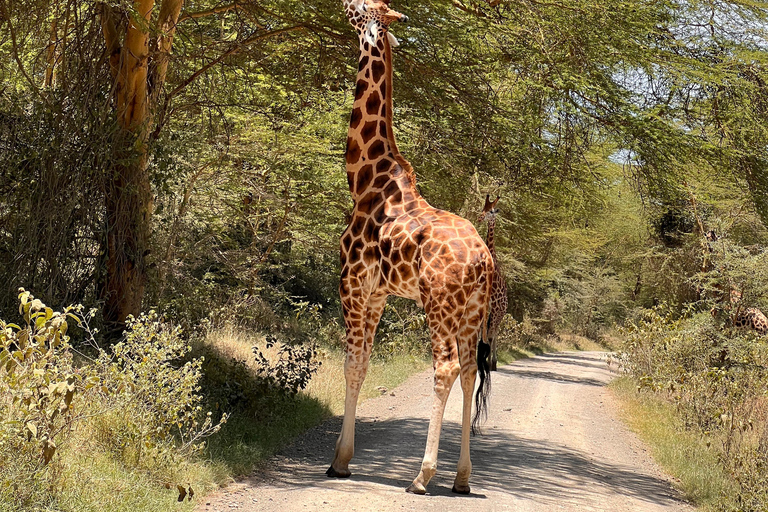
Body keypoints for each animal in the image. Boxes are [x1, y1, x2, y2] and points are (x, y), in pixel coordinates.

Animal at [328, 0, 496, 496]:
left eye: (362, 6)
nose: (342, 3)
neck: (364, 179)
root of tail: (485, 261)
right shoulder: (378, 293)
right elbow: (362, 363)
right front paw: (343, 456)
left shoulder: (352, 283)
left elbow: (352, 364)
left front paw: (340, 461)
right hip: (471, 312)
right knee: (469, 371)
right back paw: (461, 478)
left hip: (439, 304)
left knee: (445, 369)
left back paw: (422, 476)